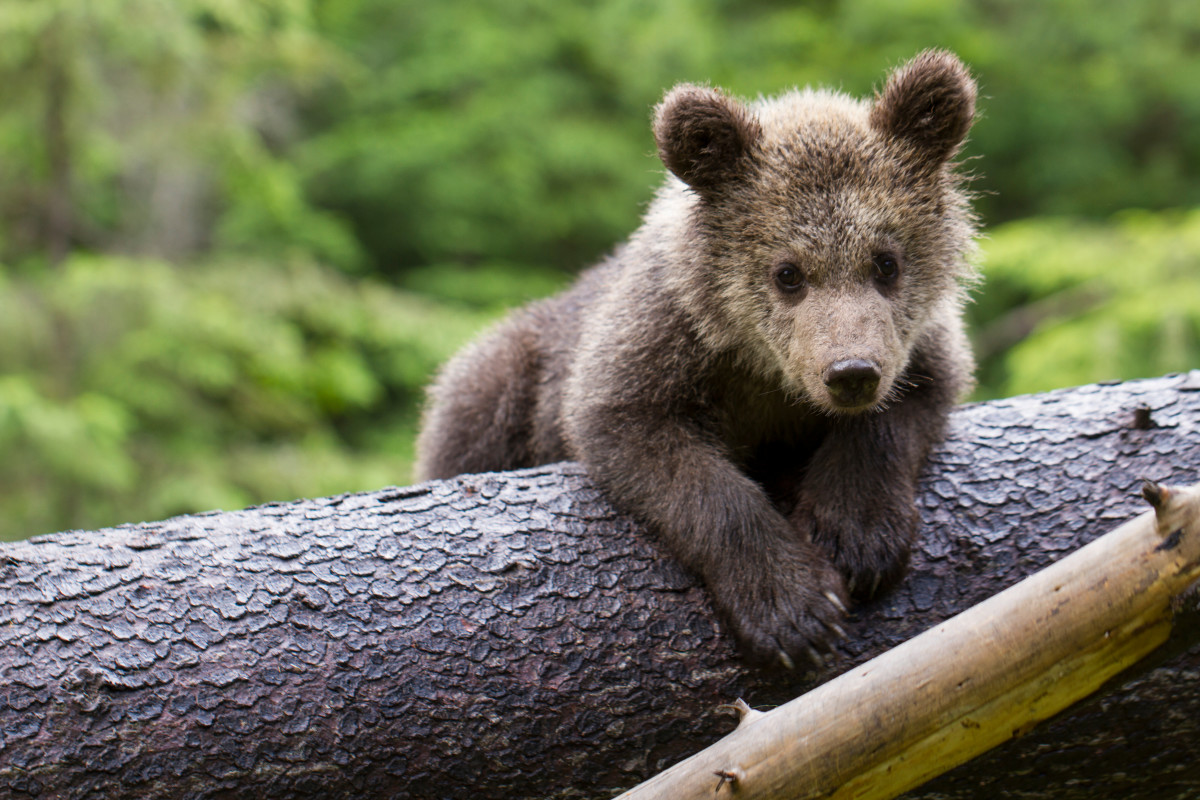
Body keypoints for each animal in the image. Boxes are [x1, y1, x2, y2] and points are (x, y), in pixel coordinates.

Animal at [417, 51, 979, 671]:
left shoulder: (919, 344)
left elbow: (910, 403)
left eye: (886, 262)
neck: (762, 369)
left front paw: (857, 536)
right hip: (504, 377)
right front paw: (794, 610)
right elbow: (662, 454)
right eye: (788, 273)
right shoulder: (660, 341)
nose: (851, 373)